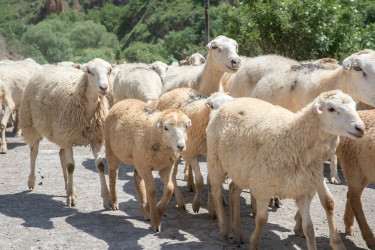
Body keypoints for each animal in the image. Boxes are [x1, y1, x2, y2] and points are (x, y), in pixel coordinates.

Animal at [20, 58, 112, 207]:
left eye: (109, 70)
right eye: (89, 71)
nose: (104, 87)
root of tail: (48, 67)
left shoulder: (95, 138)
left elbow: (100, 165)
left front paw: (107, 199)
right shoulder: (68, 138)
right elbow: (71, 166)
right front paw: (71, 197)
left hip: (61, 133)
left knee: (61, 154)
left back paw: (68, 187)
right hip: (32, 125)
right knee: (34, 153)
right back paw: (32, 180)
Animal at [104, 98, 192, 232]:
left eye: (186, 127)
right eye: (166, 128)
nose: (181, 146)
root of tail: (124, 100)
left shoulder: (166, 166)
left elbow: (169, 188)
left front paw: (159, 210)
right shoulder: (146, 167)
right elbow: (152, 191)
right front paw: (155, 220)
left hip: (139, 160)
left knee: (136, 178)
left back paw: (145, 210)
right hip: (112, 150)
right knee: (113, 174)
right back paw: (114, 202)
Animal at [207, 90, 366, 250]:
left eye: (354, 107)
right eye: (331, 108)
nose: (361, 128)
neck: (294, 139)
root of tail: (231, 102)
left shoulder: (304, 190)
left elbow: (310, 228)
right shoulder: (263, 188)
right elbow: (261, 219)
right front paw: (254, 243)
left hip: (240, 169)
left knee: (233, 189)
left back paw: (237, 233)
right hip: (216, 161)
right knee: (215, 190)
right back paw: (224, 228)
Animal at [336, 110, 375, 250]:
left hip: (365, 171)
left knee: (351, 195)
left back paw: (349, 226)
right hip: (352, 166)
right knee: (354, 198)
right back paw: (370, 239)